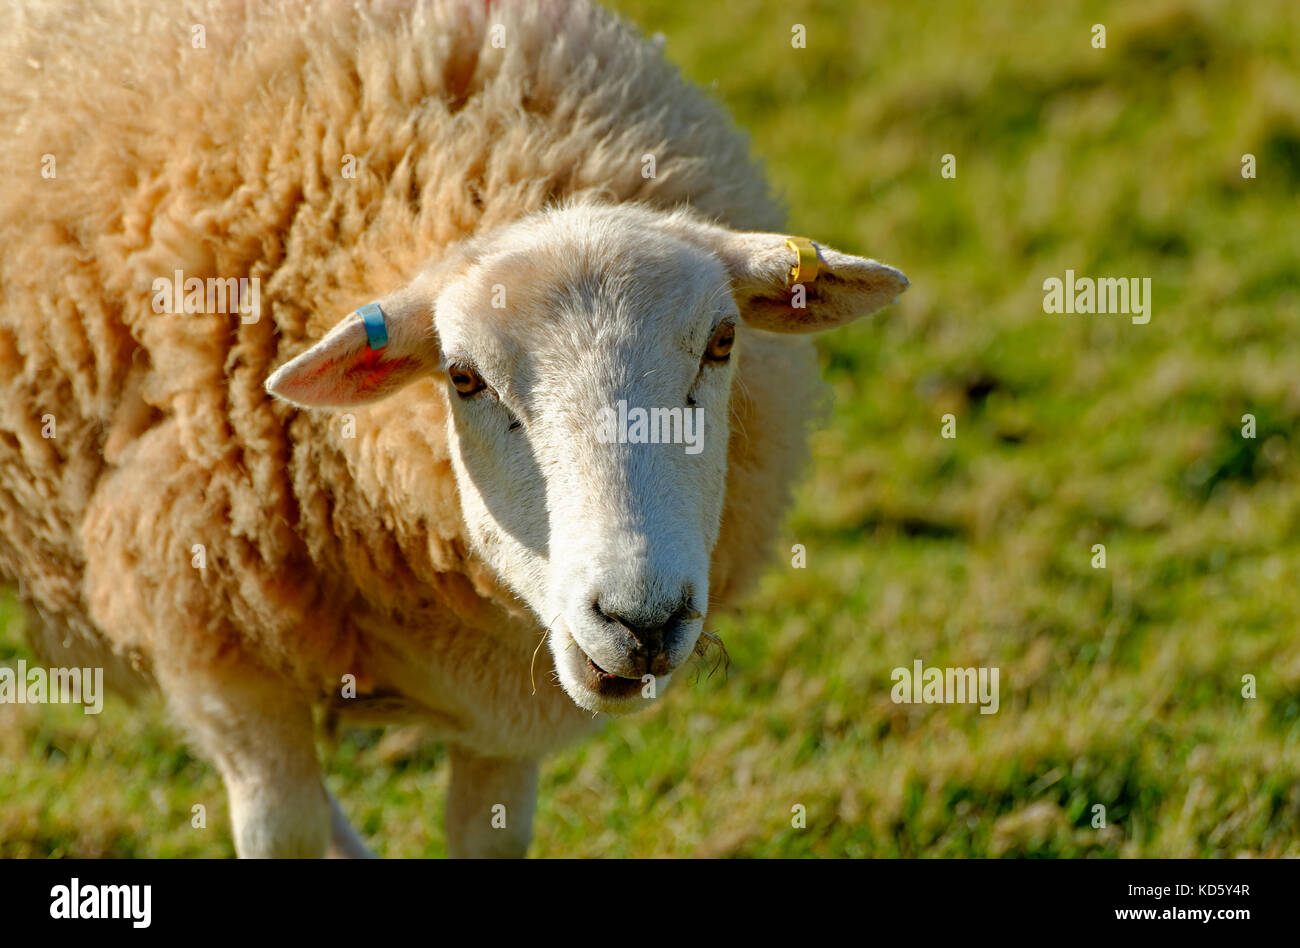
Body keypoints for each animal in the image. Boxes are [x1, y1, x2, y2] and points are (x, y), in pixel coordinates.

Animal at [0, 0, 909, 858]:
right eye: (464, 377)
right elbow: (280, 829)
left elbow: (490, 836)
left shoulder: (512, 705)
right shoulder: (223, 656)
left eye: (722, 344)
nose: (642, 622)